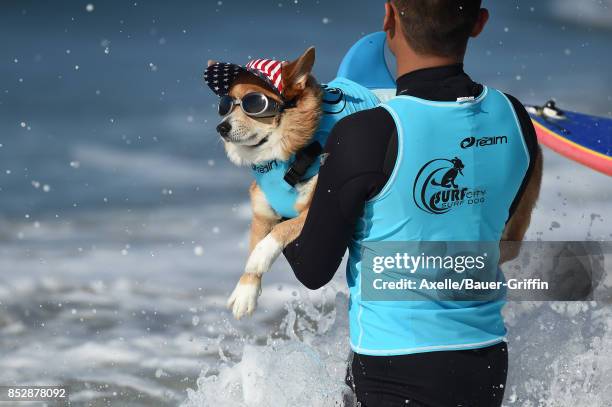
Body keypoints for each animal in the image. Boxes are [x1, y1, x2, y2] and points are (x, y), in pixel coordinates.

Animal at [203, 47, 380, 320]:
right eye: (225, 105)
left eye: (254, 103)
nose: (221, 127)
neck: (285, 157)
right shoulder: (261, 212)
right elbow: (256, 240)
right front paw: (245, 290)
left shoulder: (316, 211)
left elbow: (281, 230)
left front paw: (260, 255)